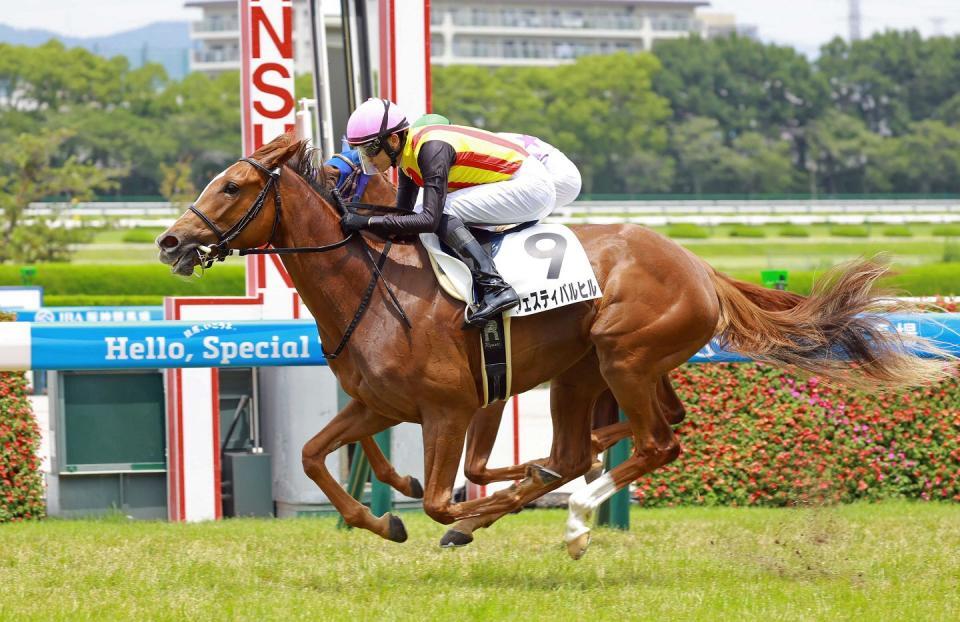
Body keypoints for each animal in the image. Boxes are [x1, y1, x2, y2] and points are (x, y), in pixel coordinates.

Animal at [157, 133, 949, 559]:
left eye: (232, 185)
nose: (169, 241)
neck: (374, 288)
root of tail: (700, 268)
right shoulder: (378, 404)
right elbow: (313, 457)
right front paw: (383, 519)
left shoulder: (448, 408)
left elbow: (443, 499)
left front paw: (453, 515)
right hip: (588, 370)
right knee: (610, 443)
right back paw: (545, 492)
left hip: (623, 356)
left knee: (655, 444)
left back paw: (571, 520)